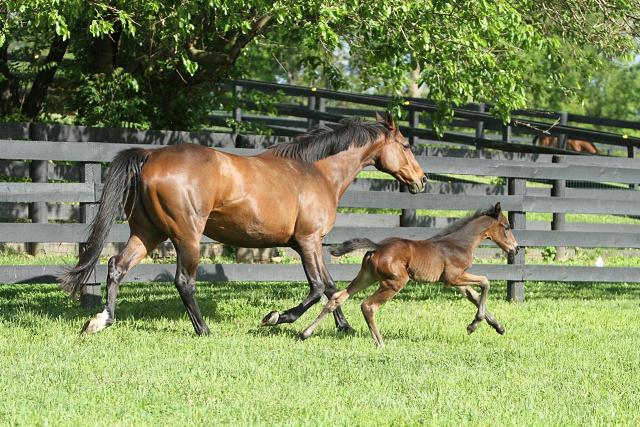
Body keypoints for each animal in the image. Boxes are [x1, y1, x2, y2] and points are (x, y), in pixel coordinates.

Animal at [57, 112, 428, 336]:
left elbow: (331, 285)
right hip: (186, 236)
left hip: (148, 233)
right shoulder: (308, 241)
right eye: (406, 145)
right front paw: (276, 317)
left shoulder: (312, 244)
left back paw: (101, 320)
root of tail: (150, 156)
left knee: (116, 266)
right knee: (184, 282)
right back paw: (204, 330)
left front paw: (344, 327)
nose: (421, 181)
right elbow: (318, 286)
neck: (316, 172)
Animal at [300, 203, 520, 348]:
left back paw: (305, 333)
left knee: (338, 298)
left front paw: (496, 327)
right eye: (506, 227)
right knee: (368, 306)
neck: (459, 243)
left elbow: (475, 296)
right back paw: (380, 343)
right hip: (395, 282)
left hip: (366, 277)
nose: (516, 249)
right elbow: (486, 282)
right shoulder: (454, 278)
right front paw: (474, 325)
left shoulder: (456, 281)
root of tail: (378, 247)